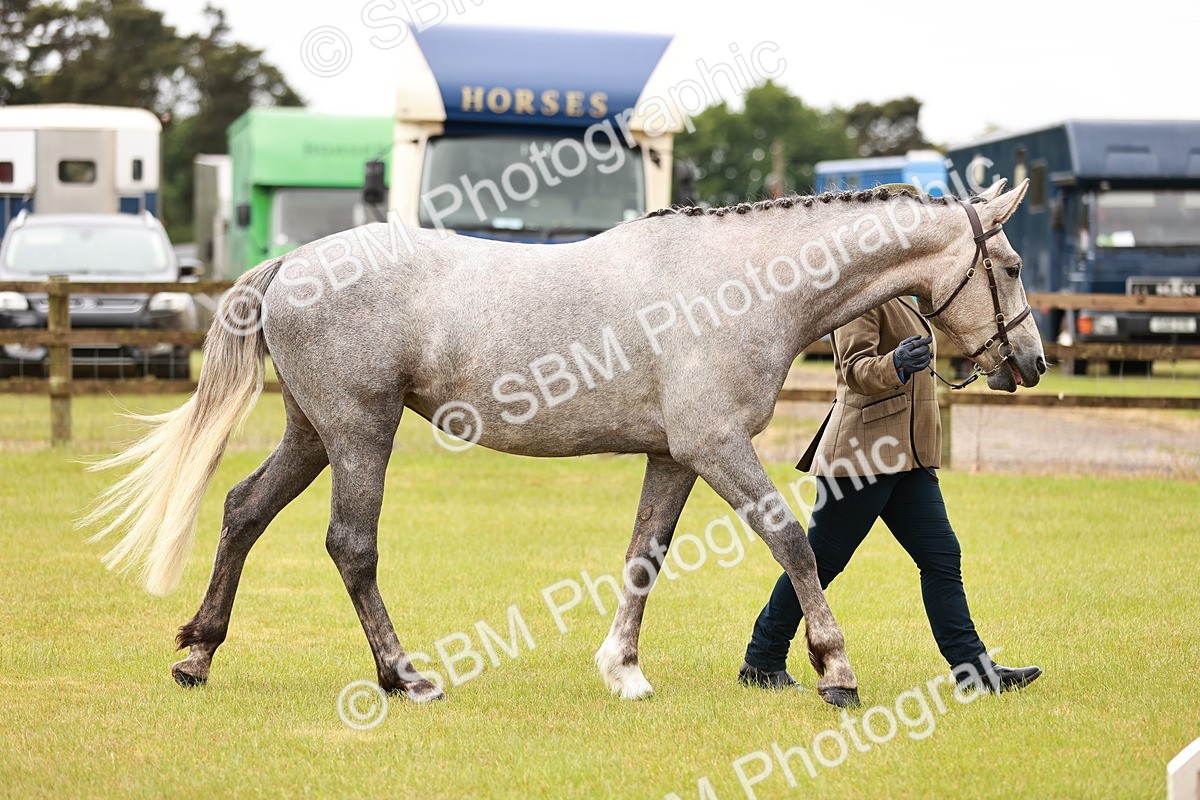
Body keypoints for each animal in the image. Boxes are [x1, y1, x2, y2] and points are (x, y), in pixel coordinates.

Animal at [84, 178, 1043, 709]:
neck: (743, 287)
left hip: (313, 432)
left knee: (243, 511)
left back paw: (197, 655)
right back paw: (406, 678)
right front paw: (835, 670)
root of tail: (292, 265)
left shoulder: (674, 455)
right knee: (351, 545)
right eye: (1010, 267)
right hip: (360, 431)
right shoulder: (716, 445)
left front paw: (624, 671)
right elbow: (792, 541)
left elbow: (644, 556)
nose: (1030, 361)